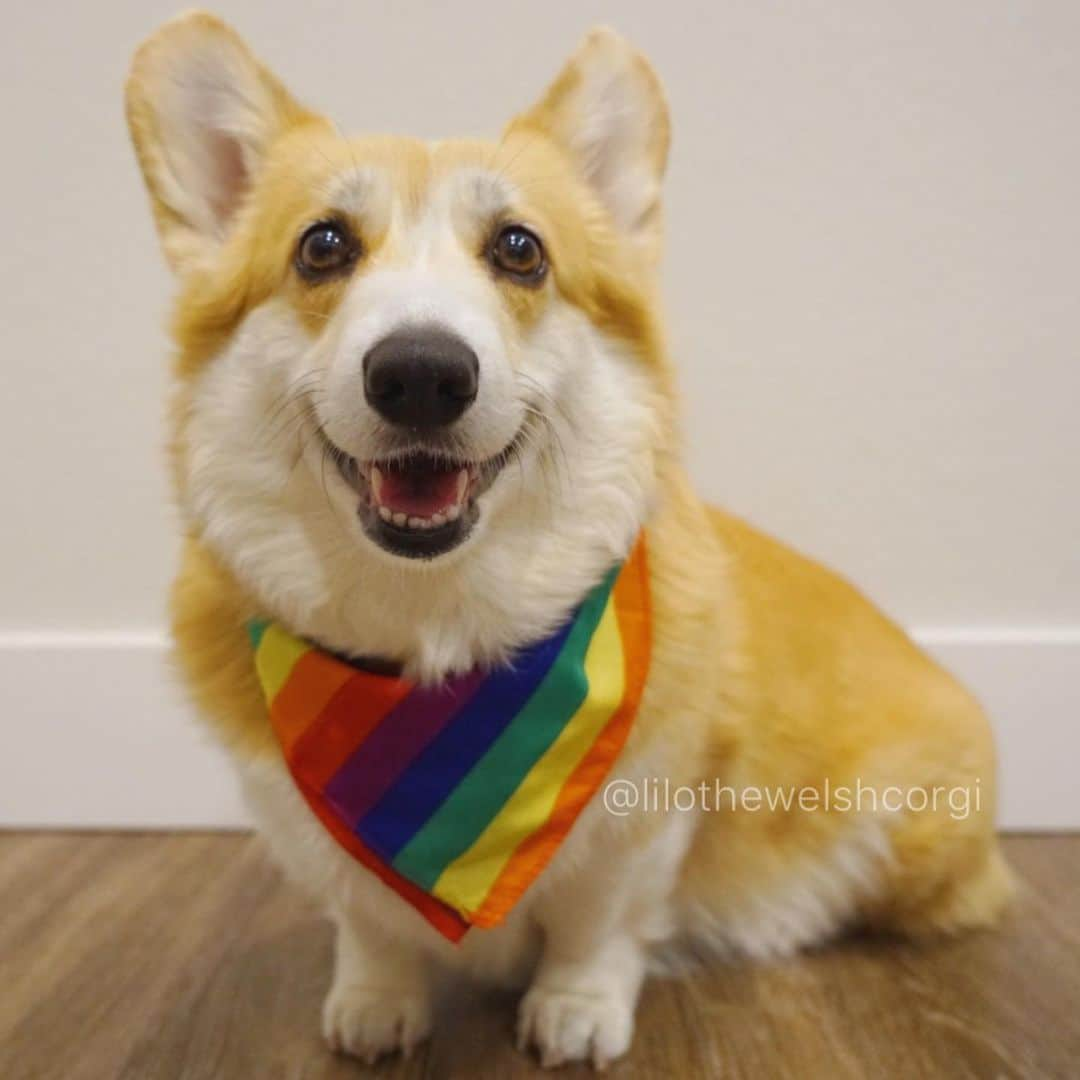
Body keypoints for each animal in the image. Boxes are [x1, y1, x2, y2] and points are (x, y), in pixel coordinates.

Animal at [126, 12, 1010, 1067]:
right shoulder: (308, 831)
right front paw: (377, 1003)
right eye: (323, 246)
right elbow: (369, 923)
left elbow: (599, 921)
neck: (436, 638)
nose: (421, 373)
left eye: (519, 249)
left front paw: (577, 1011)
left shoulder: (645, 816)